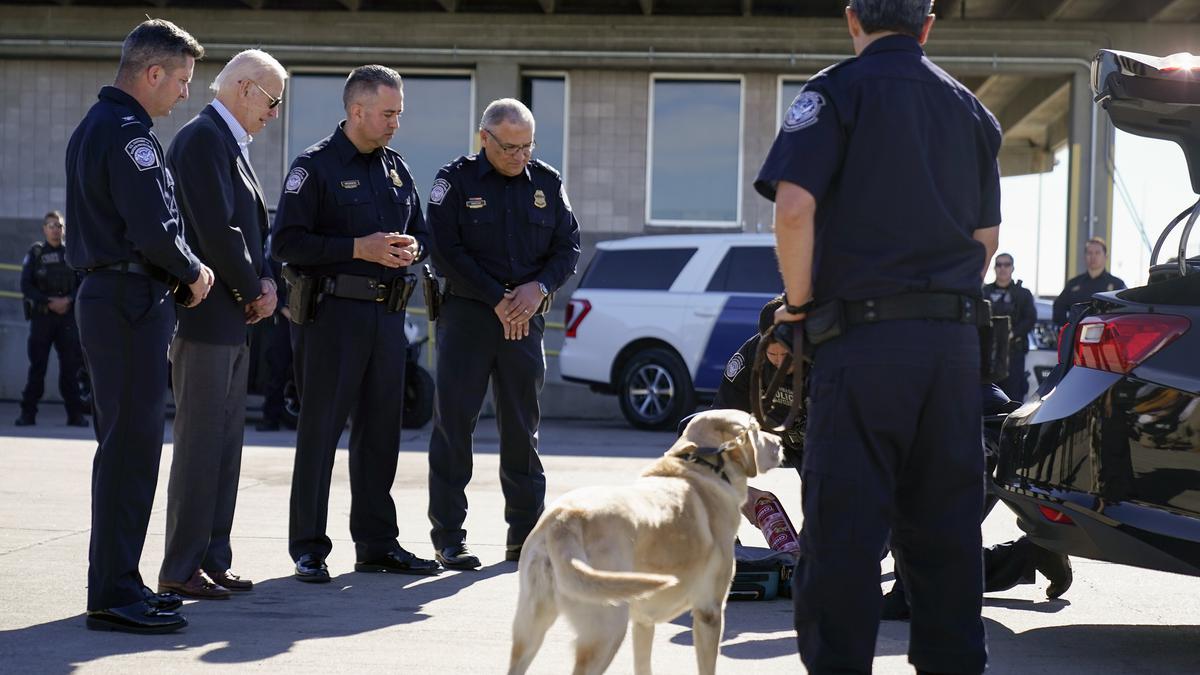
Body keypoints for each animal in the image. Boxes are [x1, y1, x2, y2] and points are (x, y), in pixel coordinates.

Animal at [504, 403, 777, 672]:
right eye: (756, 428)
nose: (779, 441)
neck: (699, 467)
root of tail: (563, 521)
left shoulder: (644, 621)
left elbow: (643, 663)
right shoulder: (708, 611)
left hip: (530, 628)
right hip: (607, 630)